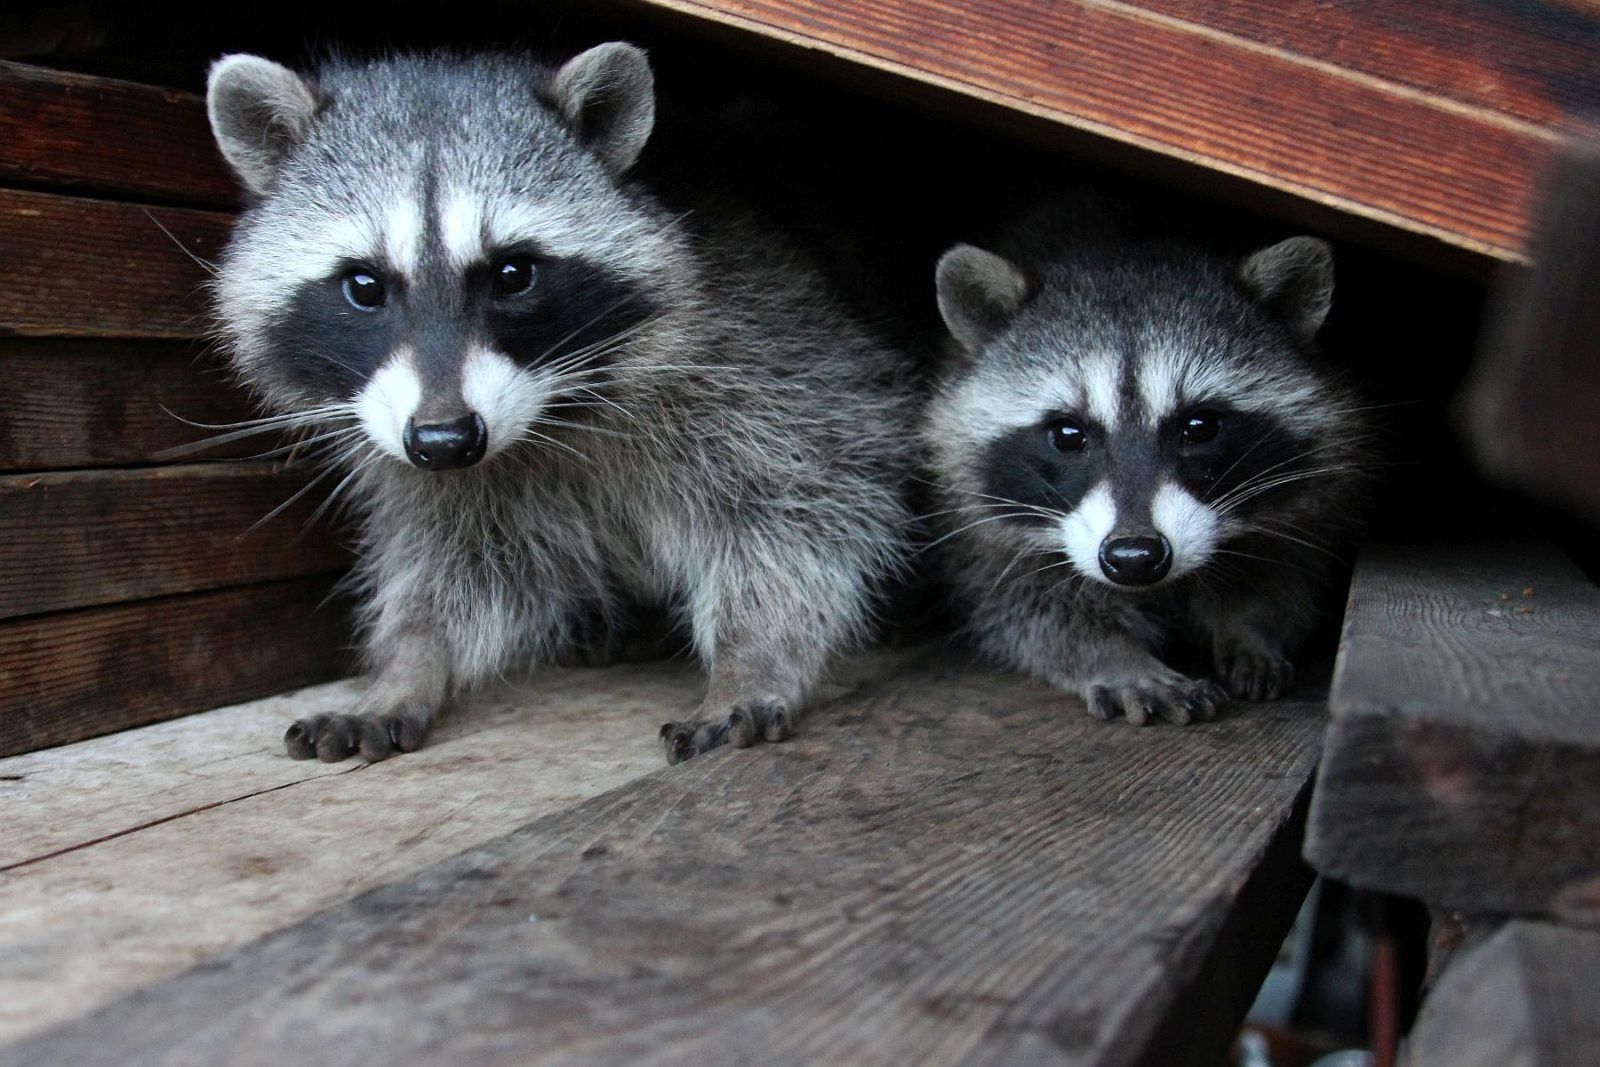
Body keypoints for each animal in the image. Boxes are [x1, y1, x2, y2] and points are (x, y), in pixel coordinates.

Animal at [203, 44, 916, 763]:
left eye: (513, 274)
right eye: (364, 286)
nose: (446, 440)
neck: (550, 418)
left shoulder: (767, 348)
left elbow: (798, 508)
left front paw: (755, 656)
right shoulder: (430, 459)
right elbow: (446, 557)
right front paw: (406, 664)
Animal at [923, 201, 1368, 724]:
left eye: (1200, 426)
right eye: (1068, 435)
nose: (1133, 557)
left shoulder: (1308, 495)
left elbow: (1280, 571)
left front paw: (1252, 627)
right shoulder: (979, 530)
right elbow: (1028, 608)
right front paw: (1115, 657)